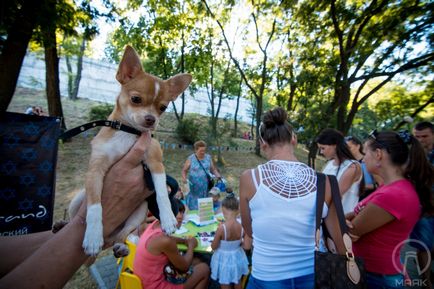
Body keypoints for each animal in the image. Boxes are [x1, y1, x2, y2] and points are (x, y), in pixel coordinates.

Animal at [69, 45, 192, 254]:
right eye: (136, 99)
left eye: (162, 107)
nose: (151, 119)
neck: (129, 132)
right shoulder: (95, 170)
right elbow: (94, 206)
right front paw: (92, 236)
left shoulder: (155, 164)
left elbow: (162, 193)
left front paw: (168, 219)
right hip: (77, 200)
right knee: (76, 217)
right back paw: (61, 225)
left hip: (139, 212)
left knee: (125, 233)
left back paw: (120, 246)